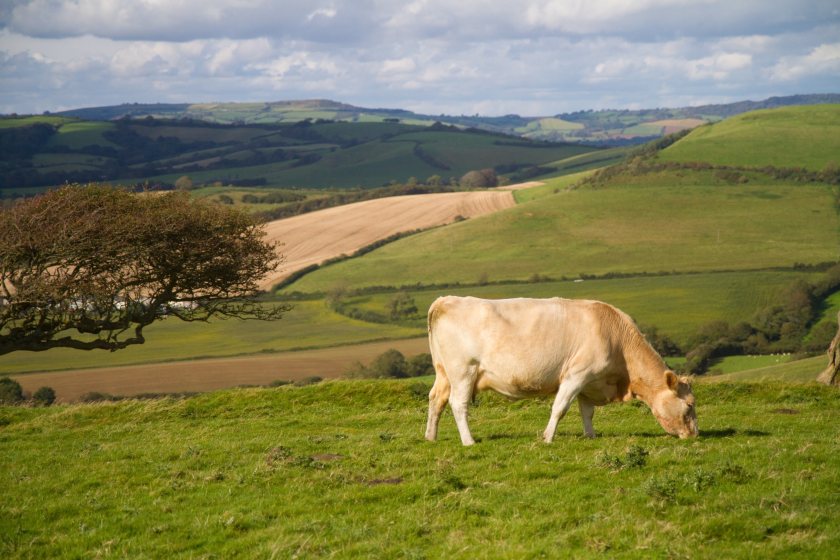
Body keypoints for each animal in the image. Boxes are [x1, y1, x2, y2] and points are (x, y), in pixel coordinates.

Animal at [424, 294, 700, 446]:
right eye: (689, 405)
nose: (695, 434)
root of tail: (445, 301)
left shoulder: (590, 383)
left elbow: (587, 412)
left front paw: (590, 436)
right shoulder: (576, 374)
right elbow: (560, 408)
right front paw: (547, 438)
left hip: (444, 373)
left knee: (436, 400)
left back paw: (430, 437)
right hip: (463, 371)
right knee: (458, 405)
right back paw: (468, 441)